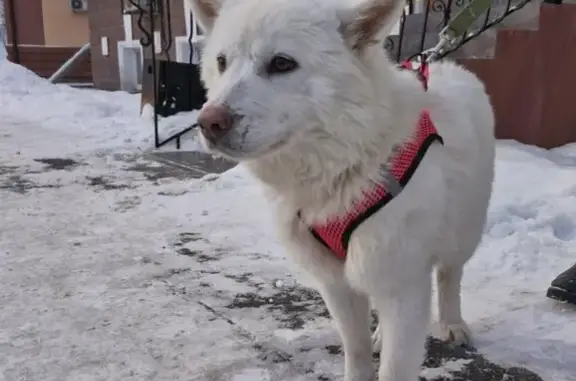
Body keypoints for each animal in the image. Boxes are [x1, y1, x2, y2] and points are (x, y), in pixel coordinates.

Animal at [189, 0, 496, 378]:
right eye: (221, 62)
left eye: (281, 63)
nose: (208, 123)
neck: (349, 165)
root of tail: (448, 66)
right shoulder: (337, 284)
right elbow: (357, 350)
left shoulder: (403, 285)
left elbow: (395, 365)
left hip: (462, 232)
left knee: (450, 275)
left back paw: (453, 323)